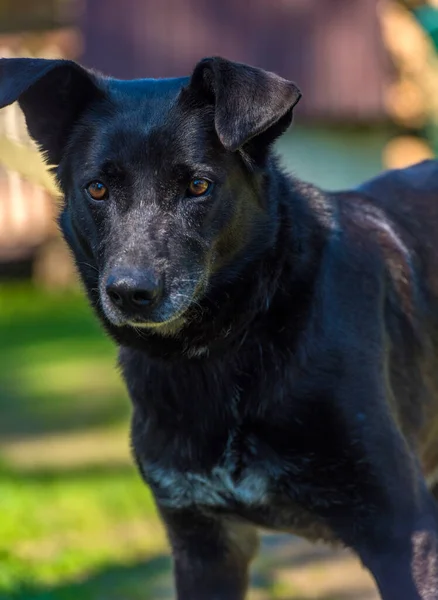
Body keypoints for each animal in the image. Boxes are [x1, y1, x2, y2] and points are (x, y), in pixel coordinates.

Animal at [2, 57, 438, 600]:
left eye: (198, 186)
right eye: (97, 188)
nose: (129, 292)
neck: (226, 345)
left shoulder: (403, 533)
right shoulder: (204, 543)